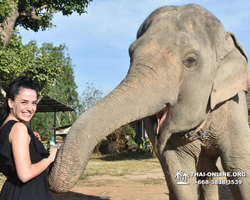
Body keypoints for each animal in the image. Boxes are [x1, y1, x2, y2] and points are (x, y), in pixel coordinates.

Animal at [47, 3, 250, 200]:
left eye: (190, 61)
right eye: (130, 54)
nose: (52, 154)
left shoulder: (234, 107)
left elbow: (238, 167)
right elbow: (178, 173)